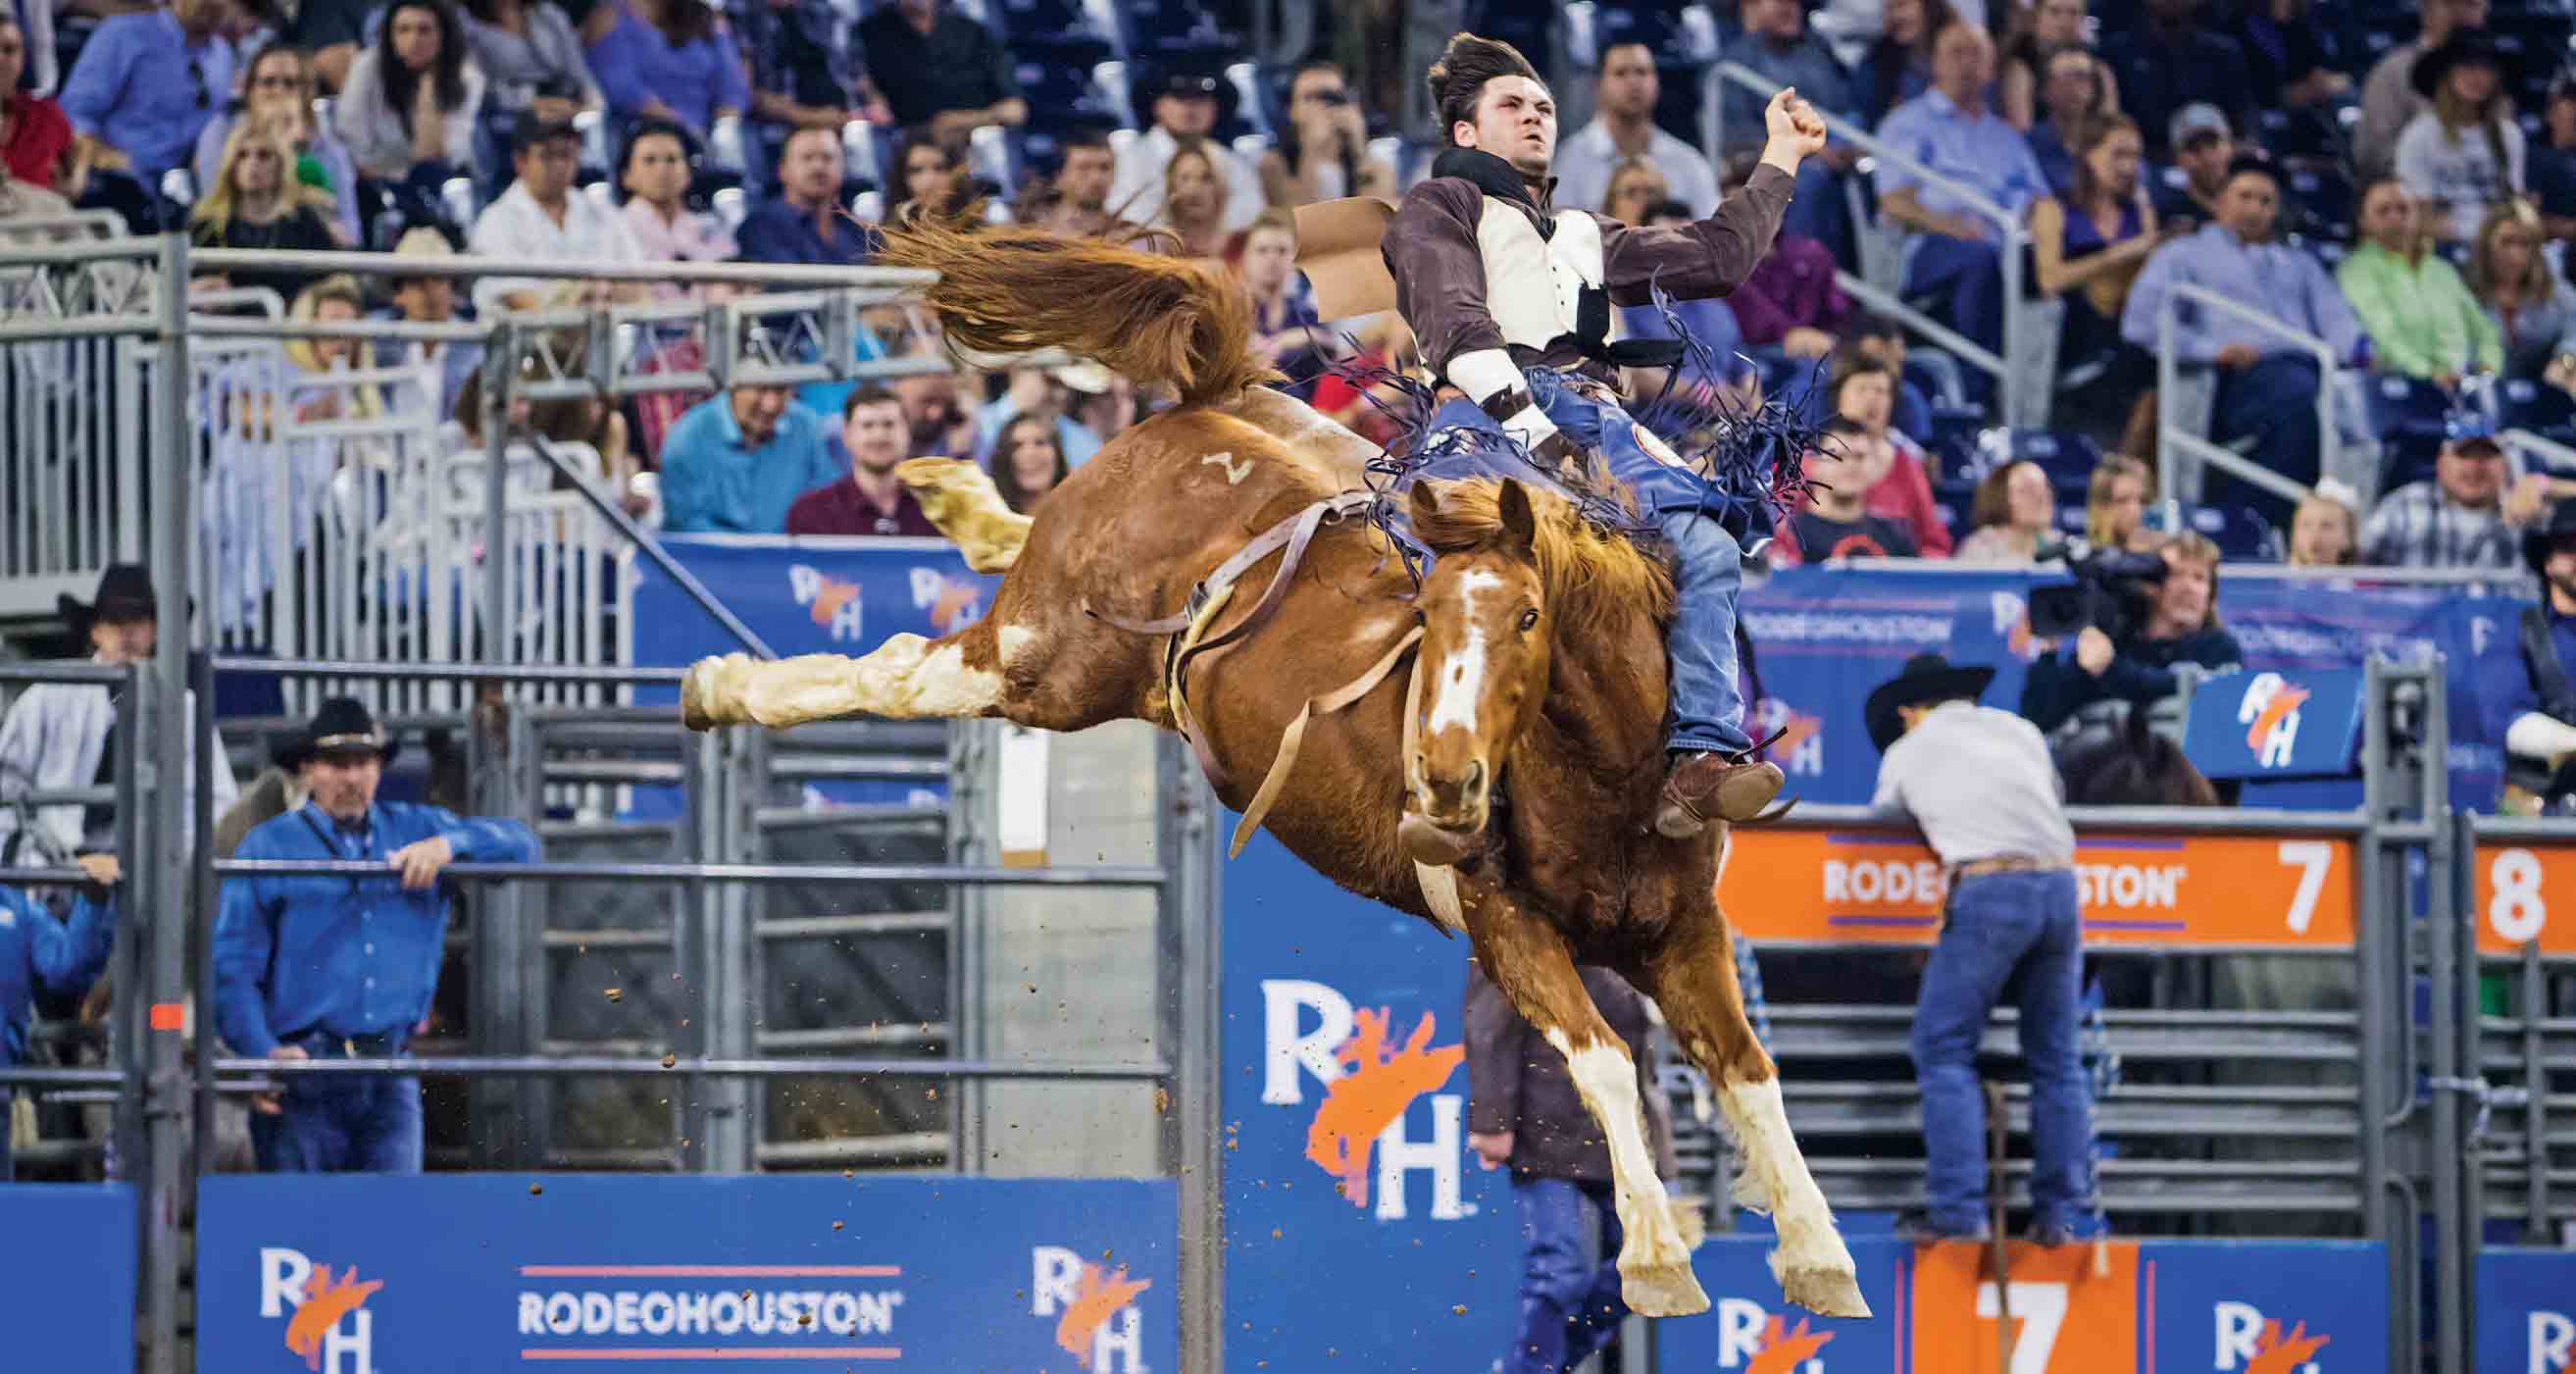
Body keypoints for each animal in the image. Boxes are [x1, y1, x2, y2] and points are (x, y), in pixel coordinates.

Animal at [675, 219, 1864, 1314]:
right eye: (1427, 618)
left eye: (1526, 617)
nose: (1441, 784)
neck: (1605, 773)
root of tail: (1206, 402)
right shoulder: (1504, 924)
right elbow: (1605, 1058)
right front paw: (1657, 1255)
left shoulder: (1684, 927)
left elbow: (1747, 1071)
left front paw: (1817, 1252)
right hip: (1043, 662)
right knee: (901, 670)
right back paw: (723, 685)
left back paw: (959, 502)